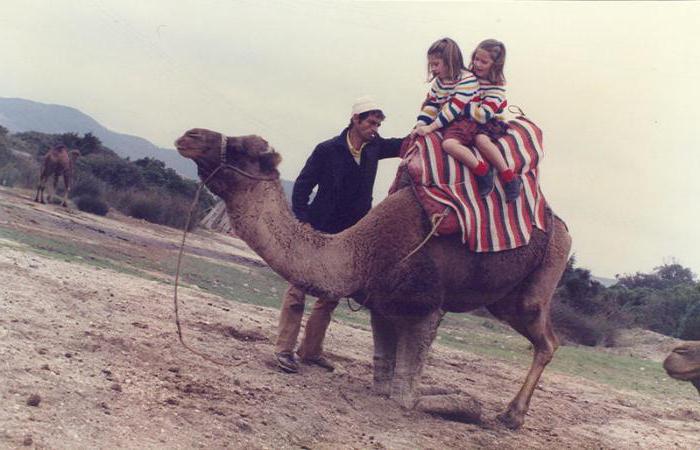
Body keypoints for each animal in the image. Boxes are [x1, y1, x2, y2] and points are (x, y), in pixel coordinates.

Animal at [175, 127, 576, 428]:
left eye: (242, 149)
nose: (189, 136)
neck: (360, 254)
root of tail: (563, 226)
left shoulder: (429, 308)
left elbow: (406, 396)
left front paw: (468, 405)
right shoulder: (381, 306)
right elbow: (385, 381)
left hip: (544, 274)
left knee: (548, 340)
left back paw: (512, 416)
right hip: (504, 302)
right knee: (542, 338)